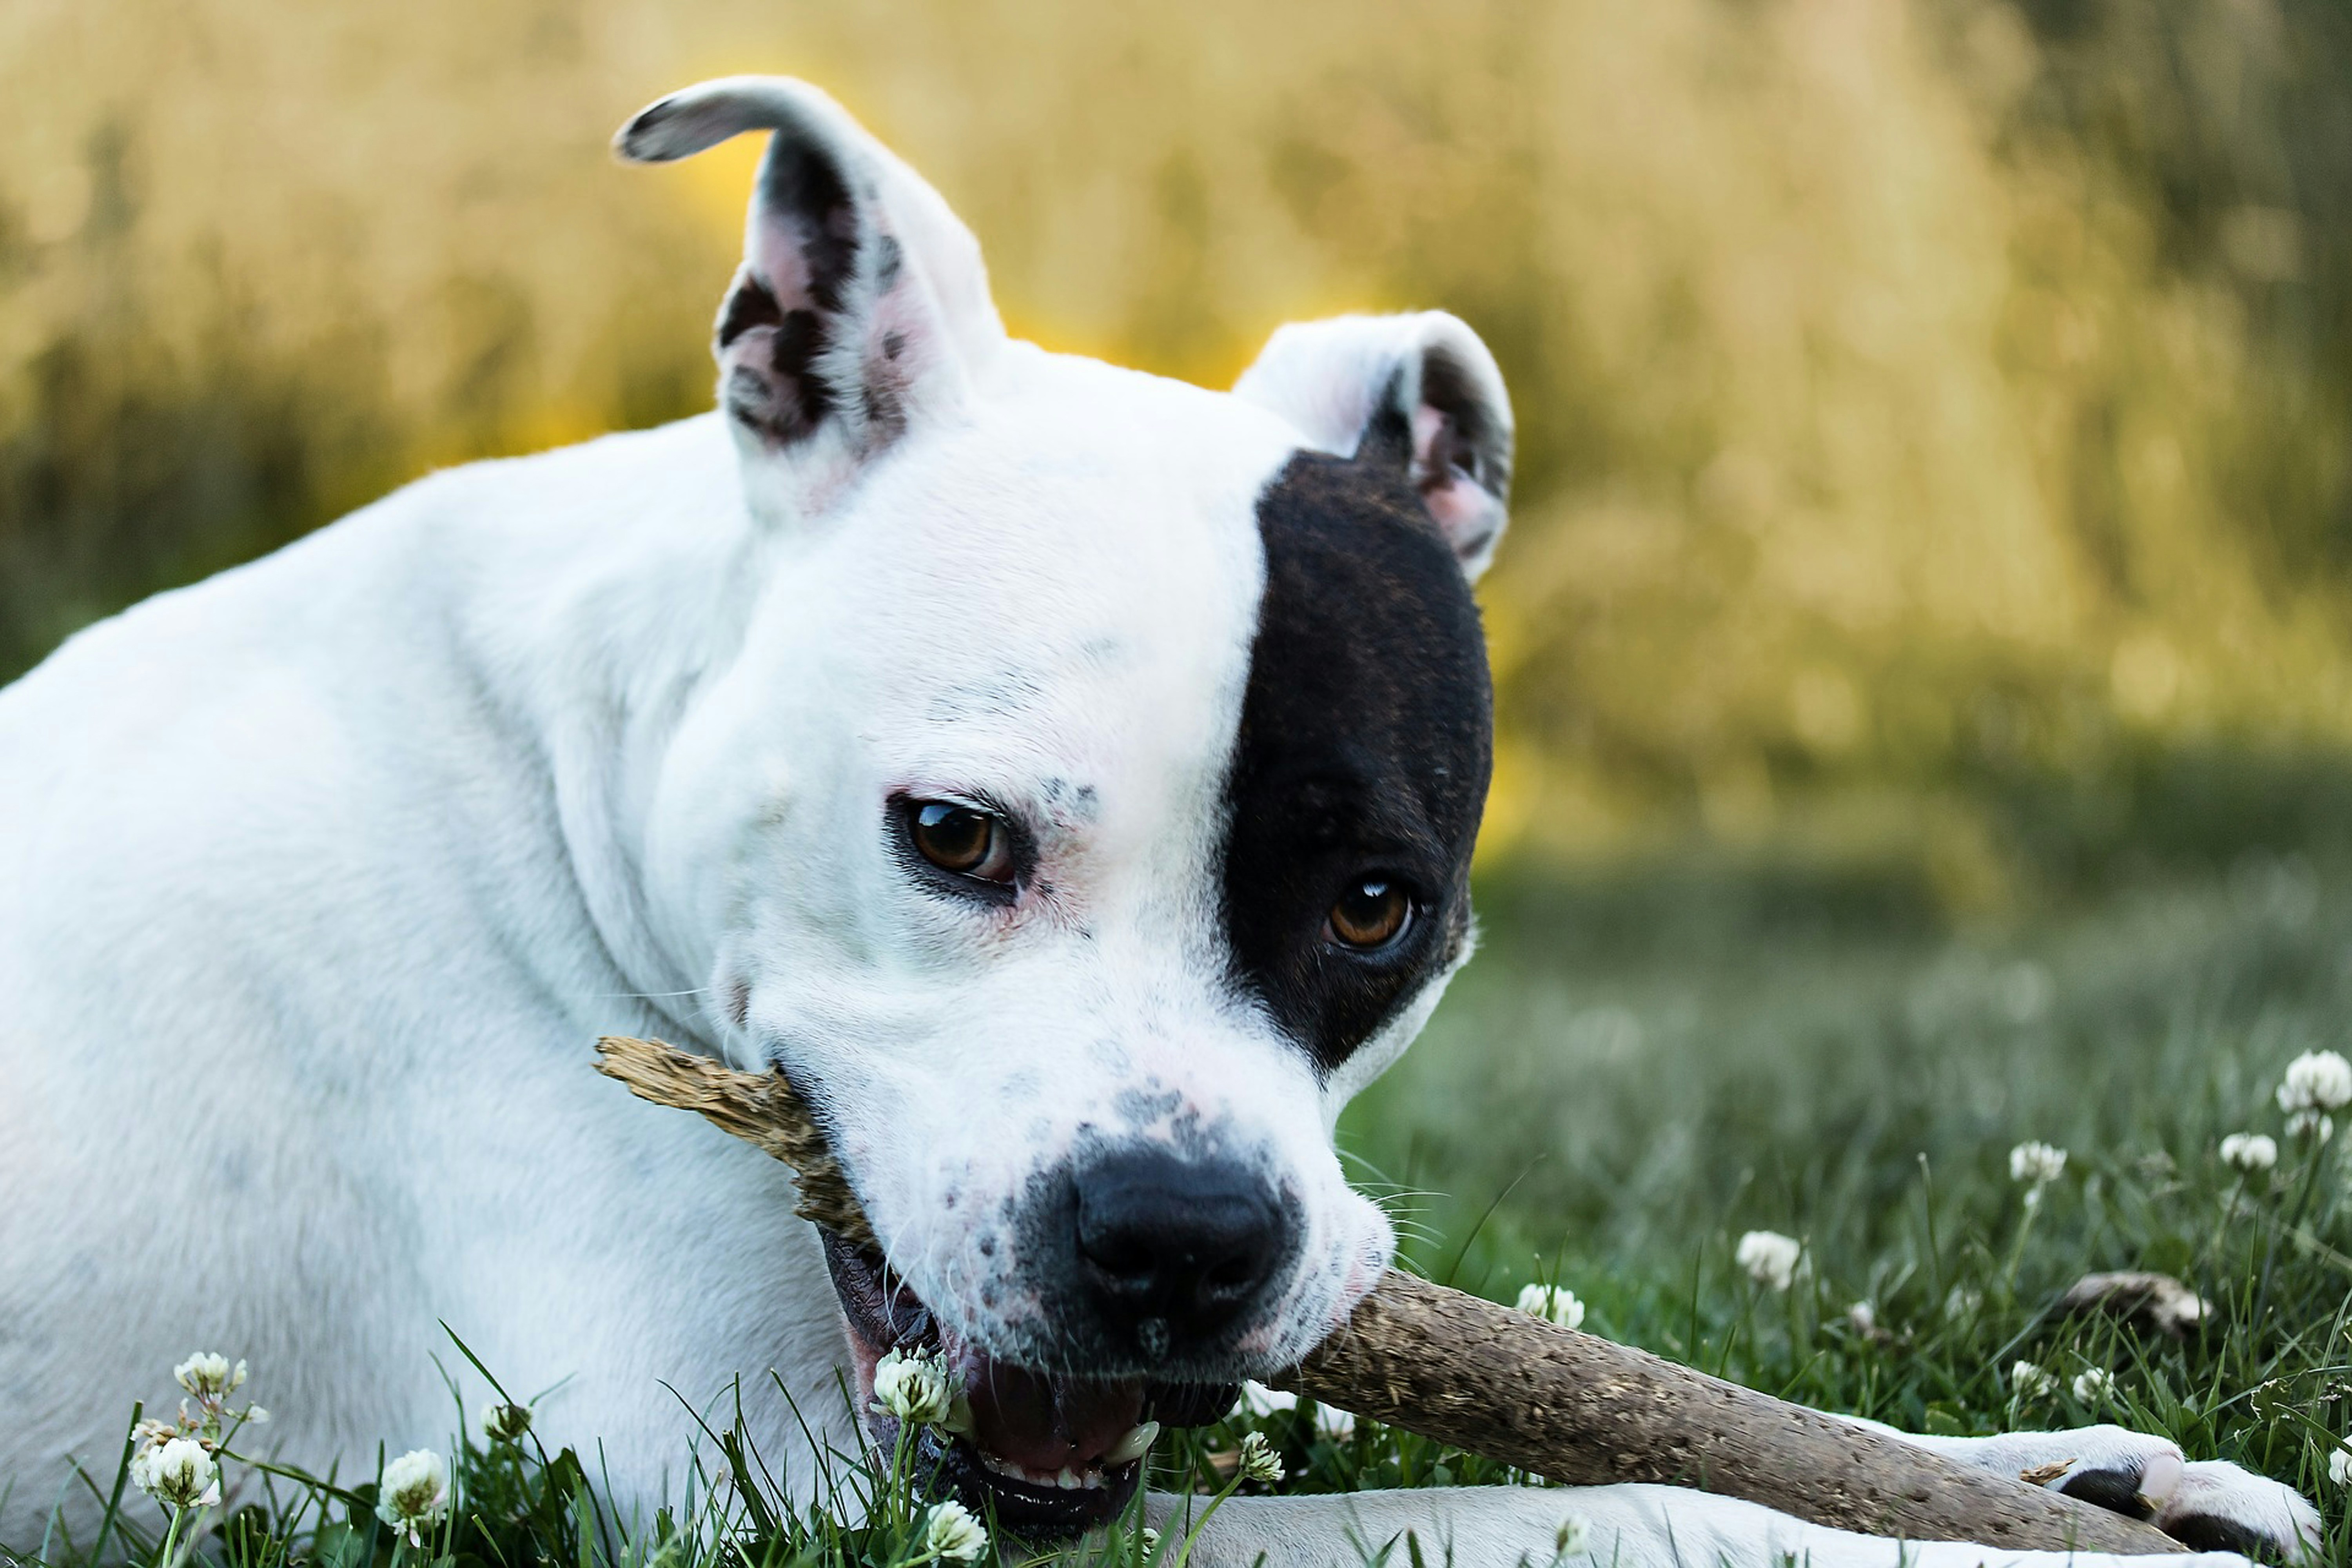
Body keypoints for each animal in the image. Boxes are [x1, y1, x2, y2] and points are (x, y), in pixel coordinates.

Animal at [0, 76, 2314, 1568]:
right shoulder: (774, 1499)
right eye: (950, 837)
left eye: (1379, 907)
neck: (562, 778)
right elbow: (1578, 1495)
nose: (1182, 1240)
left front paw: (2080, 1468)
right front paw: (2015, 1545)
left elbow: (1682, 1423)